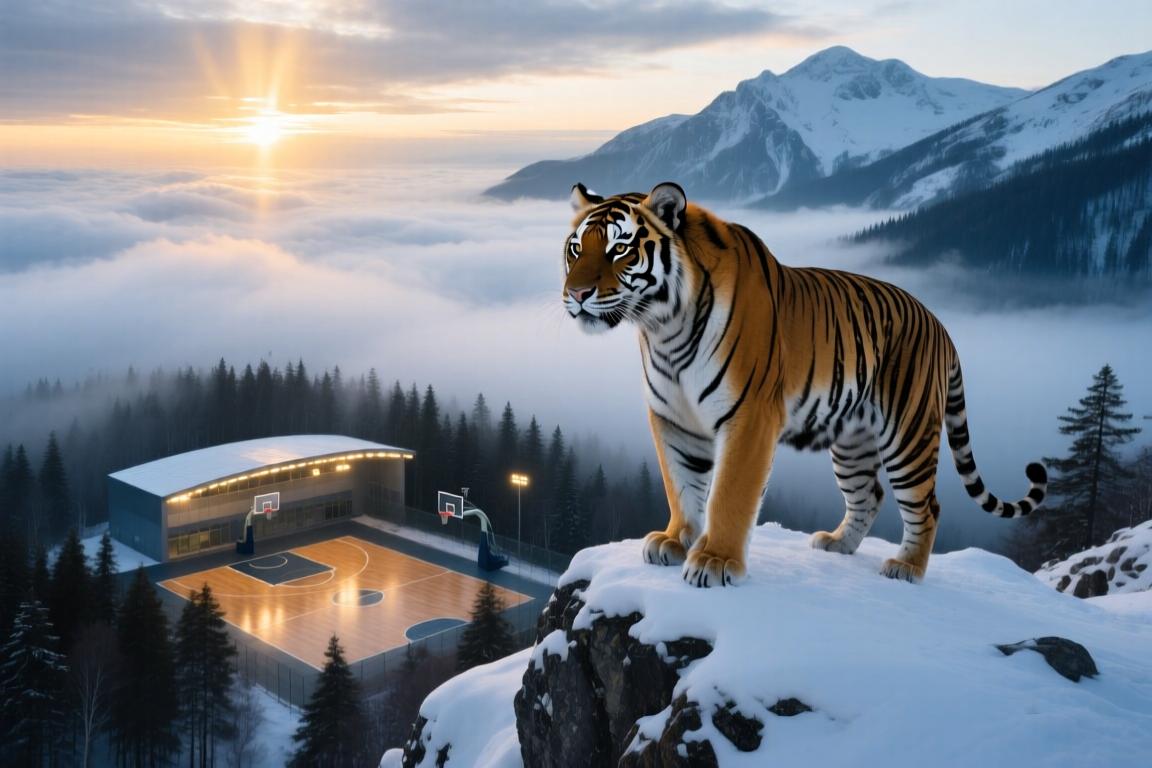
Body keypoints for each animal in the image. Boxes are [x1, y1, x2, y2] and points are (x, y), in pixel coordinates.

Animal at [562, 181, 1047, 587]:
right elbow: (680, 484)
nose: (576, 294)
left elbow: (729, 493)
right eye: (576, 249)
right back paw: (837, 544)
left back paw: (906, 567)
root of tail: (941, 325)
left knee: (927, 506)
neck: (664, 327)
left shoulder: (750, 417)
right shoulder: (673, 418)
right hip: (852, 441)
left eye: (620, 249)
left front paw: (715, 561)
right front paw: (675, 540)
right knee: (869, 493)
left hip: (907, 434)